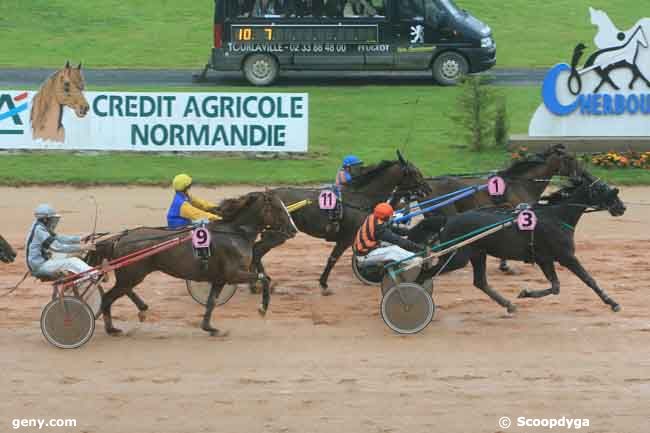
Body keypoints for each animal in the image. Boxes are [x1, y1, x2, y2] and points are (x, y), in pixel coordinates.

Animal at [89, 191, 296, 336]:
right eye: (278, 208)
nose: (293, 229)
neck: (235, 233)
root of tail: (120, 238)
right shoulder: (234, 274)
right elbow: (265, 279)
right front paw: (262, 308)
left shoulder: (220, 279)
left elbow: (211, 302)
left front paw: (209, 327)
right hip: (132, 274)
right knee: (108, 297)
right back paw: (111, 328)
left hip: (130, 275)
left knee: (122, 292)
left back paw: (141, 310)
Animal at [410, 172, 624, 314]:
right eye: (602, 188)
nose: (622, 207)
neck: (556, 217)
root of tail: (449, 220)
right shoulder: (566, 256)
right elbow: (588, 279)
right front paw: (612, 302)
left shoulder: (545, 258)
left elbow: (555, 287)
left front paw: (525, 293)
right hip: (458, 256)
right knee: (426, 274)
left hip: (477, 254)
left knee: (480, 282)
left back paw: (508, 304)